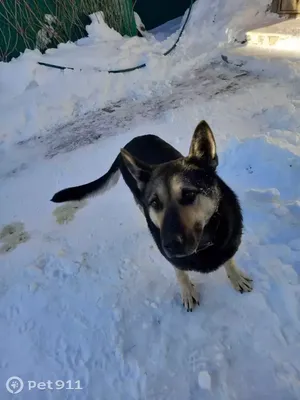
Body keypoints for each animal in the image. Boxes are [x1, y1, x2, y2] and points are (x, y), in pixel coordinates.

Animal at [52, 120, 253, 310]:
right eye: (155, 203)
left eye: (189, 194)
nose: (170, 245)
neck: (204, 241)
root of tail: (130, 142)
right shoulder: (172, 257)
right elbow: (180, 273)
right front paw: (187, 292)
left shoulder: (227, 244)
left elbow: (229, 260)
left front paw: (236, 277)